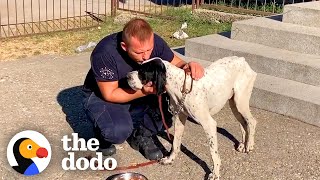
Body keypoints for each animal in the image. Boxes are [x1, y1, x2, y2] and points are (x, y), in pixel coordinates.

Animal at [127, 56, 258, 180]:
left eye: (142, 71)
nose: (127, 76)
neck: (180, 86)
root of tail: (242, 59)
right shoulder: (179, 119)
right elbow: (175, 144)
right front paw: (170, 159)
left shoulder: (209, 124)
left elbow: (214, 153)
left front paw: (215, 174)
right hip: (234, 104)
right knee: (243, 123)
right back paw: (243, 144)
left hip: (240, 102)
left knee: (251, 121)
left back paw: (249, 145)